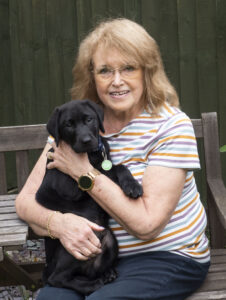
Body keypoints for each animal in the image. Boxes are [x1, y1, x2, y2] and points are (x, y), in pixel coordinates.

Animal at [36, 99, 143, 294]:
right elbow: (105, 171)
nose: (86, 141)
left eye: (89, 119)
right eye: (68, 124)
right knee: (57, 278)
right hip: (74, 247)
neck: (90, 155)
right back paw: (92, 285)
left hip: (109, 240)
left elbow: (116, 167)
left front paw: (132, 185)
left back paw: (107, 274)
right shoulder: (70, 186)